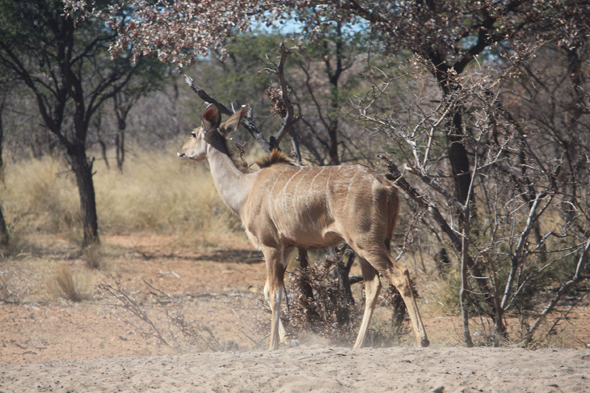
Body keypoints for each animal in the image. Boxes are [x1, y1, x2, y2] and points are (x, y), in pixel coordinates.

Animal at [177, 104, 430, 350]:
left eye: (193, 133)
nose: (181, 151)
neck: (246, 189)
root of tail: (387, 187)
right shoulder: (287, 248)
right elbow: (270, 290)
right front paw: (286, 340)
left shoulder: (270, 246)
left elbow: (275, 293)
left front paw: (273, 345)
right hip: (368, 244)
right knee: (373, 284)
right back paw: (358, 344)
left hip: (365, 241)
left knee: (400, 275)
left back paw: (422, 339)